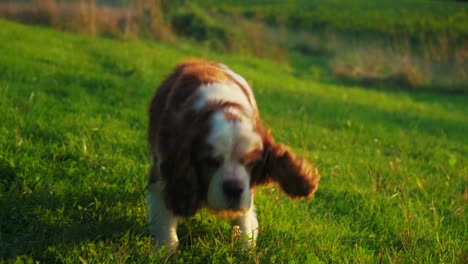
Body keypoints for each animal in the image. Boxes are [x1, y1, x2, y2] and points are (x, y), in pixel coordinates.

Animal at [147, 58, 322, 251]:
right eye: (211, 161)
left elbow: (245, 218)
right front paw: (165, 249)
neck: (221, 104)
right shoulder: (164, 170)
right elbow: (164, 220)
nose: (234, 188)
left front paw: (245, 248)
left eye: (252, 163)